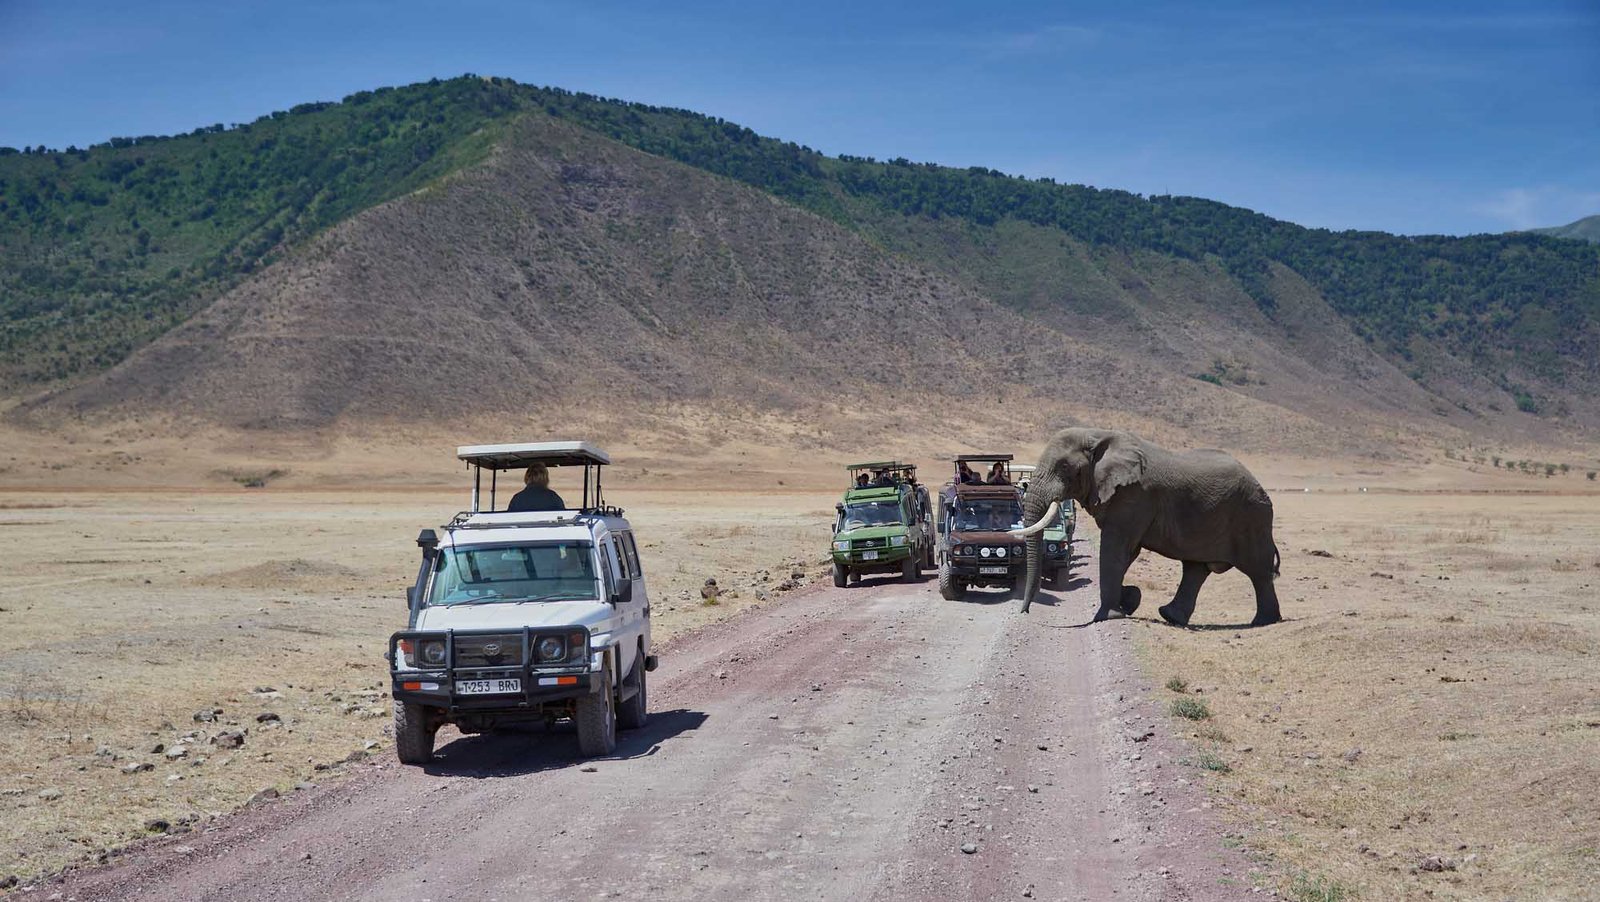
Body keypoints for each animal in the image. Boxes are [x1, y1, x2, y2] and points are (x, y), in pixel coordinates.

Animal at [1011, 425, 1286, 623]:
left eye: (1064, 466)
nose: (1025, 613)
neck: (1097, 435)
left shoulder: (1134, 495)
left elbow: (1116, 548)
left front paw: (1109, 615)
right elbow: (1127, 553)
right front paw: (1130, 600)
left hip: (1251, 518)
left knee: (1258, 571)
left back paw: (1264, 622)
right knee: (1196, 569)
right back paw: (1170, 616)